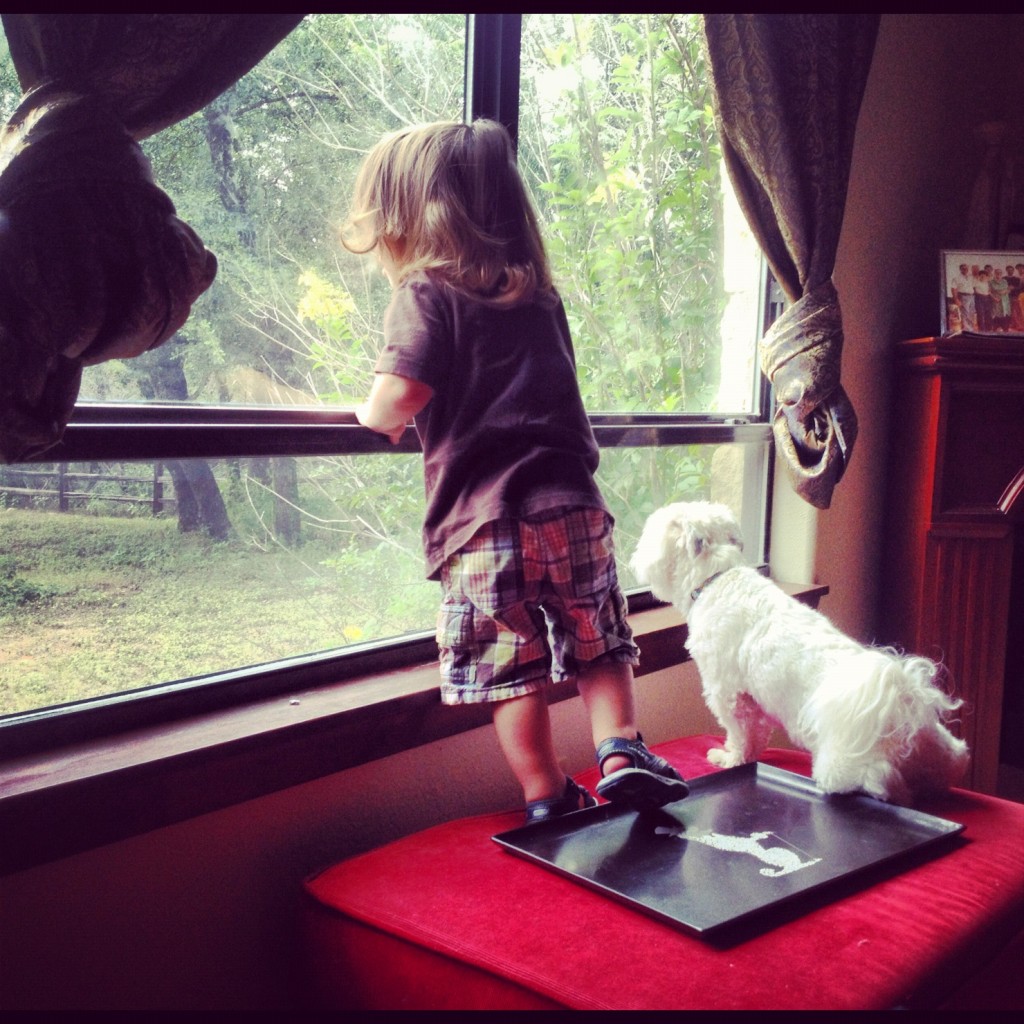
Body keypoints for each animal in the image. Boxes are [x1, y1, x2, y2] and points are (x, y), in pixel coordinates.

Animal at [629, 500, 970, 805]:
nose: (634, 556)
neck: (718, 578)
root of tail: (903, 707)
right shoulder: (754, 700)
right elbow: (756, 733)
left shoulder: (727, 693)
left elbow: (739, 733)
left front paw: (731, 758)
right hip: (948, 752)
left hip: (847, 766)